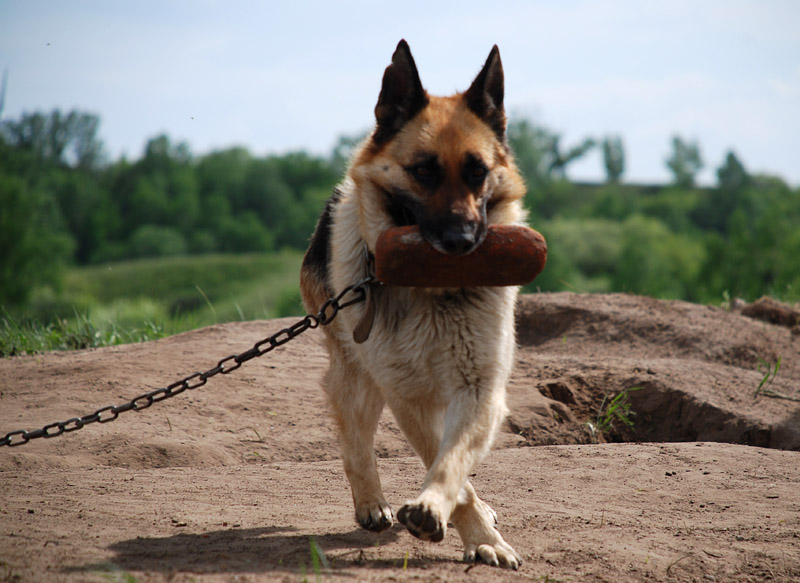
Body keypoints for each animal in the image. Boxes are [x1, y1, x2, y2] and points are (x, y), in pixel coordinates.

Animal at [300, 38, 524, 568]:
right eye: (423, 172)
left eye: (478, 173)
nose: (461, 242)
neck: (434, 294)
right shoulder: (407, 396)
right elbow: (443, 464)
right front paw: (468, 528)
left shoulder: (480, 389)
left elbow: (452, 462)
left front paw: (473, 530)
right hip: (358, 377)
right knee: (354, 439)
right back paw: (370, 502)